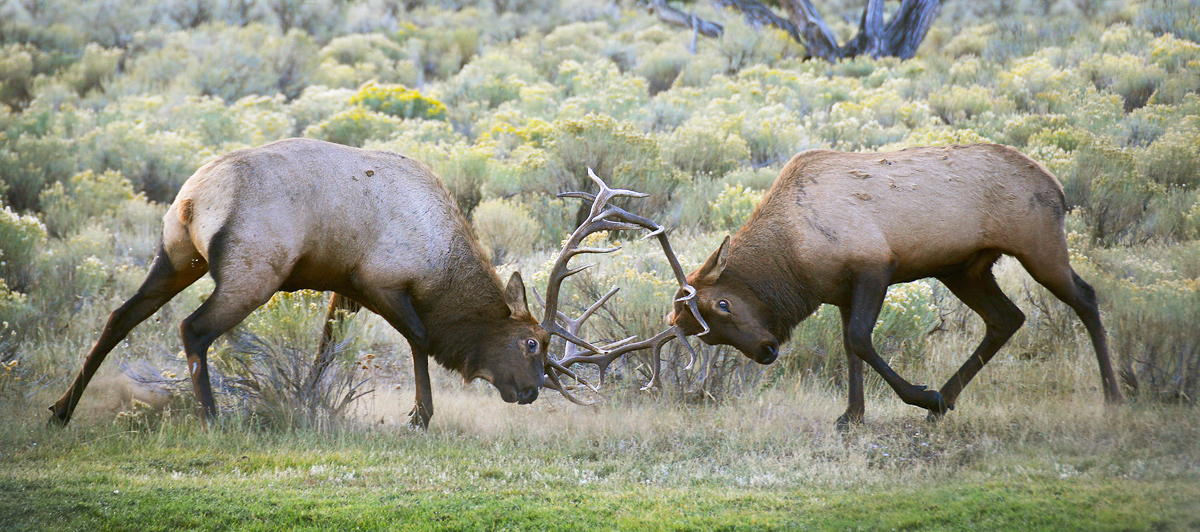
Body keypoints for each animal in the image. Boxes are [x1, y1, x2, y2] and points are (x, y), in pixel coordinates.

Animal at [49, 138, 703, 429]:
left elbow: (324, 345)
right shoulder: (380, 278)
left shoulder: (345, 286)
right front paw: (420, 414)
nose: (530, 392)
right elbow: (419, 339)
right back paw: (212, 418)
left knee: (121, 315)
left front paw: (313, 396)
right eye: (532, 343)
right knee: (193, 328)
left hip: (175, 254)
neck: (440, 265)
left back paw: (61, 408)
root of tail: (191, 198)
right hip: (252, 269)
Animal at [669, 144, 1124, 426]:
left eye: (723, 304)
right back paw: (947, 400)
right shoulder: (841, 292)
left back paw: (1114, 396)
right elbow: (849, 349)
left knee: (1086, 298)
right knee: (1007, 318)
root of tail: (1057, 186)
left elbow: (860, 340)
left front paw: (920, 394)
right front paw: (853, 415)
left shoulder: (876, 265)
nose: (766, 350)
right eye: (706, 336)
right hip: (965, 269)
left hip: (1039, 246)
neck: (795, 256)